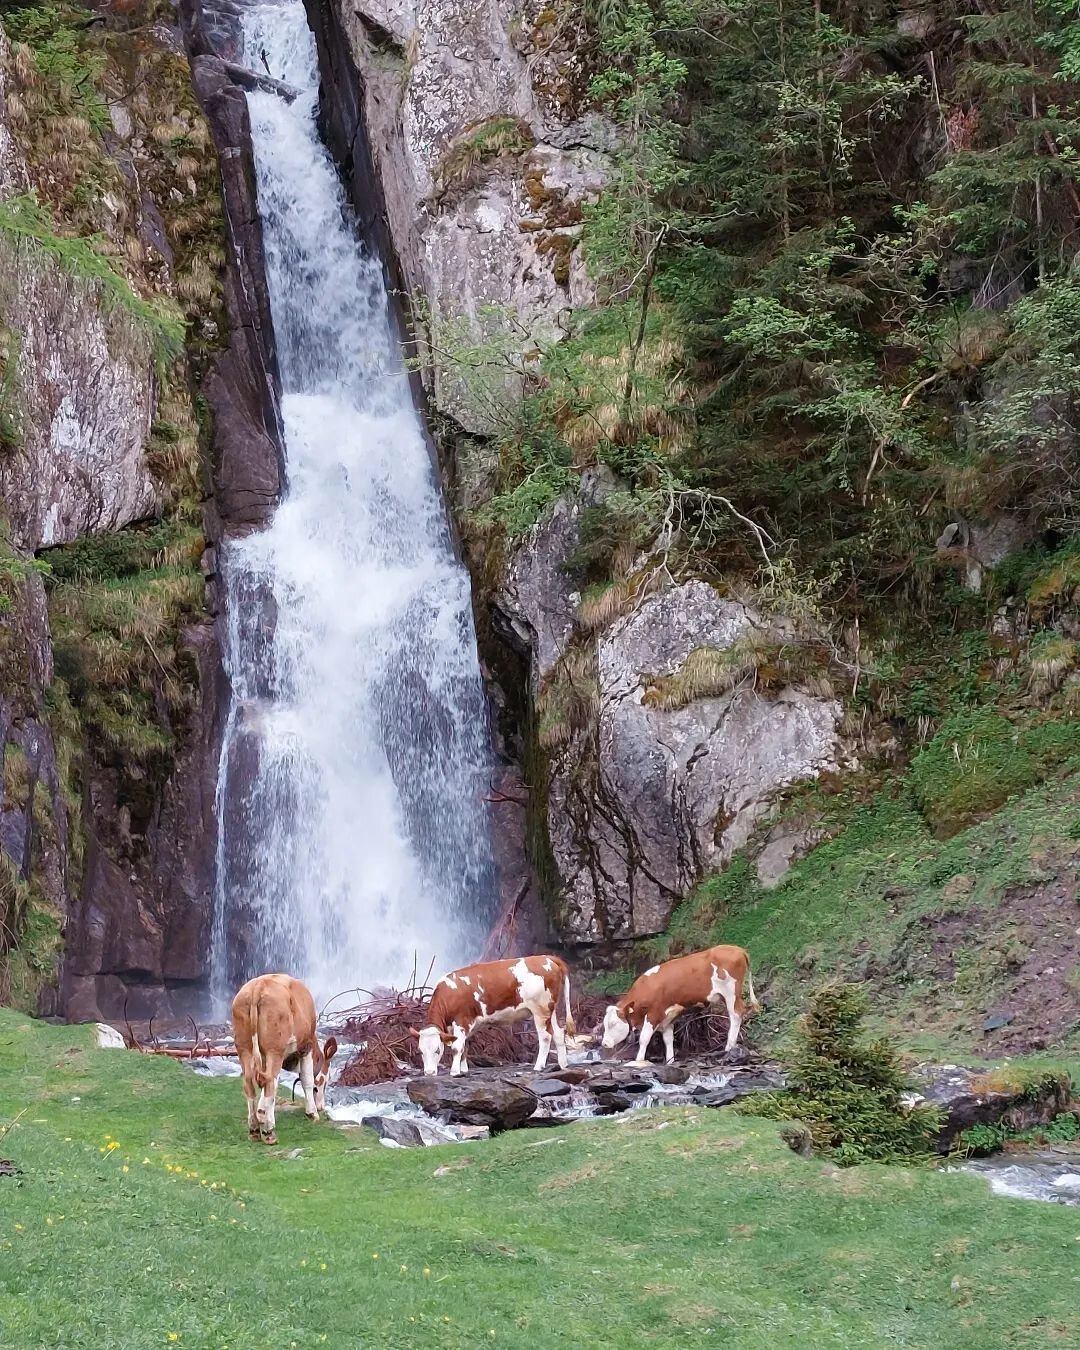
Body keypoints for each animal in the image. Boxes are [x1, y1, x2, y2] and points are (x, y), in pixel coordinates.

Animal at [230, 977, 337, 1144]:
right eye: (326, 1082)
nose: (321, 1107)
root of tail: (258, 985)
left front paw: (262, 1112)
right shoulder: (306, 1047)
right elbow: (306, 1080)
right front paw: (312, 1113)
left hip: (244, 1048)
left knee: (250, 1082)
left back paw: (254, 1129)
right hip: (275, 1050)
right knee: (269, 1081)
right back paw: (269, 1131)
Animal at [413, 961, 577, 1074]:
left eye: (437, 1051)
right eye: (420, 1051)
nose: (429, 1073)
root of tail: (548, 958)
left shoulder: (462, 1020)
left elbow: (457, 1047)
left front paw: (455, 1072)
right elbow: (464, 1046)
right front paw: (464, 1069)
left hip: (540, 1010)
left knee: (545, 1036)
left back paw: (539, 1066)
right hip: (551, 1009)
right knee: (558, 1033)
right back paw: (563, 1064)